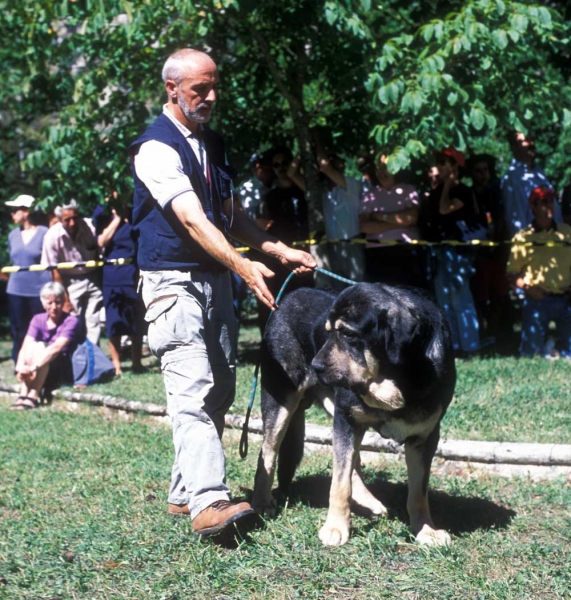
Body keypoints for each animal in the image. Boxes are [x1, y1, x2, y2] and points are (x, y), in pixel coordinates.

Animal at [252, 284, 458, 548]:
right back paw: (261, 502)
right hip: (281, 402)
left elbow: (418, 492)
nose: (315, 366)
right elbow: (340, 483)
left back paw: (369, 502)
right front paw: (335, 527)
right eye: (328, 333)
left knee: (354, 462)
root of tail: (286, 298)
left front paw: (425, 529)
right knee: (268, 452)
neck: (394, 380)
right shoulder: (345, 419)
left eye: (348, 334)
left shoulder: (424, 438)